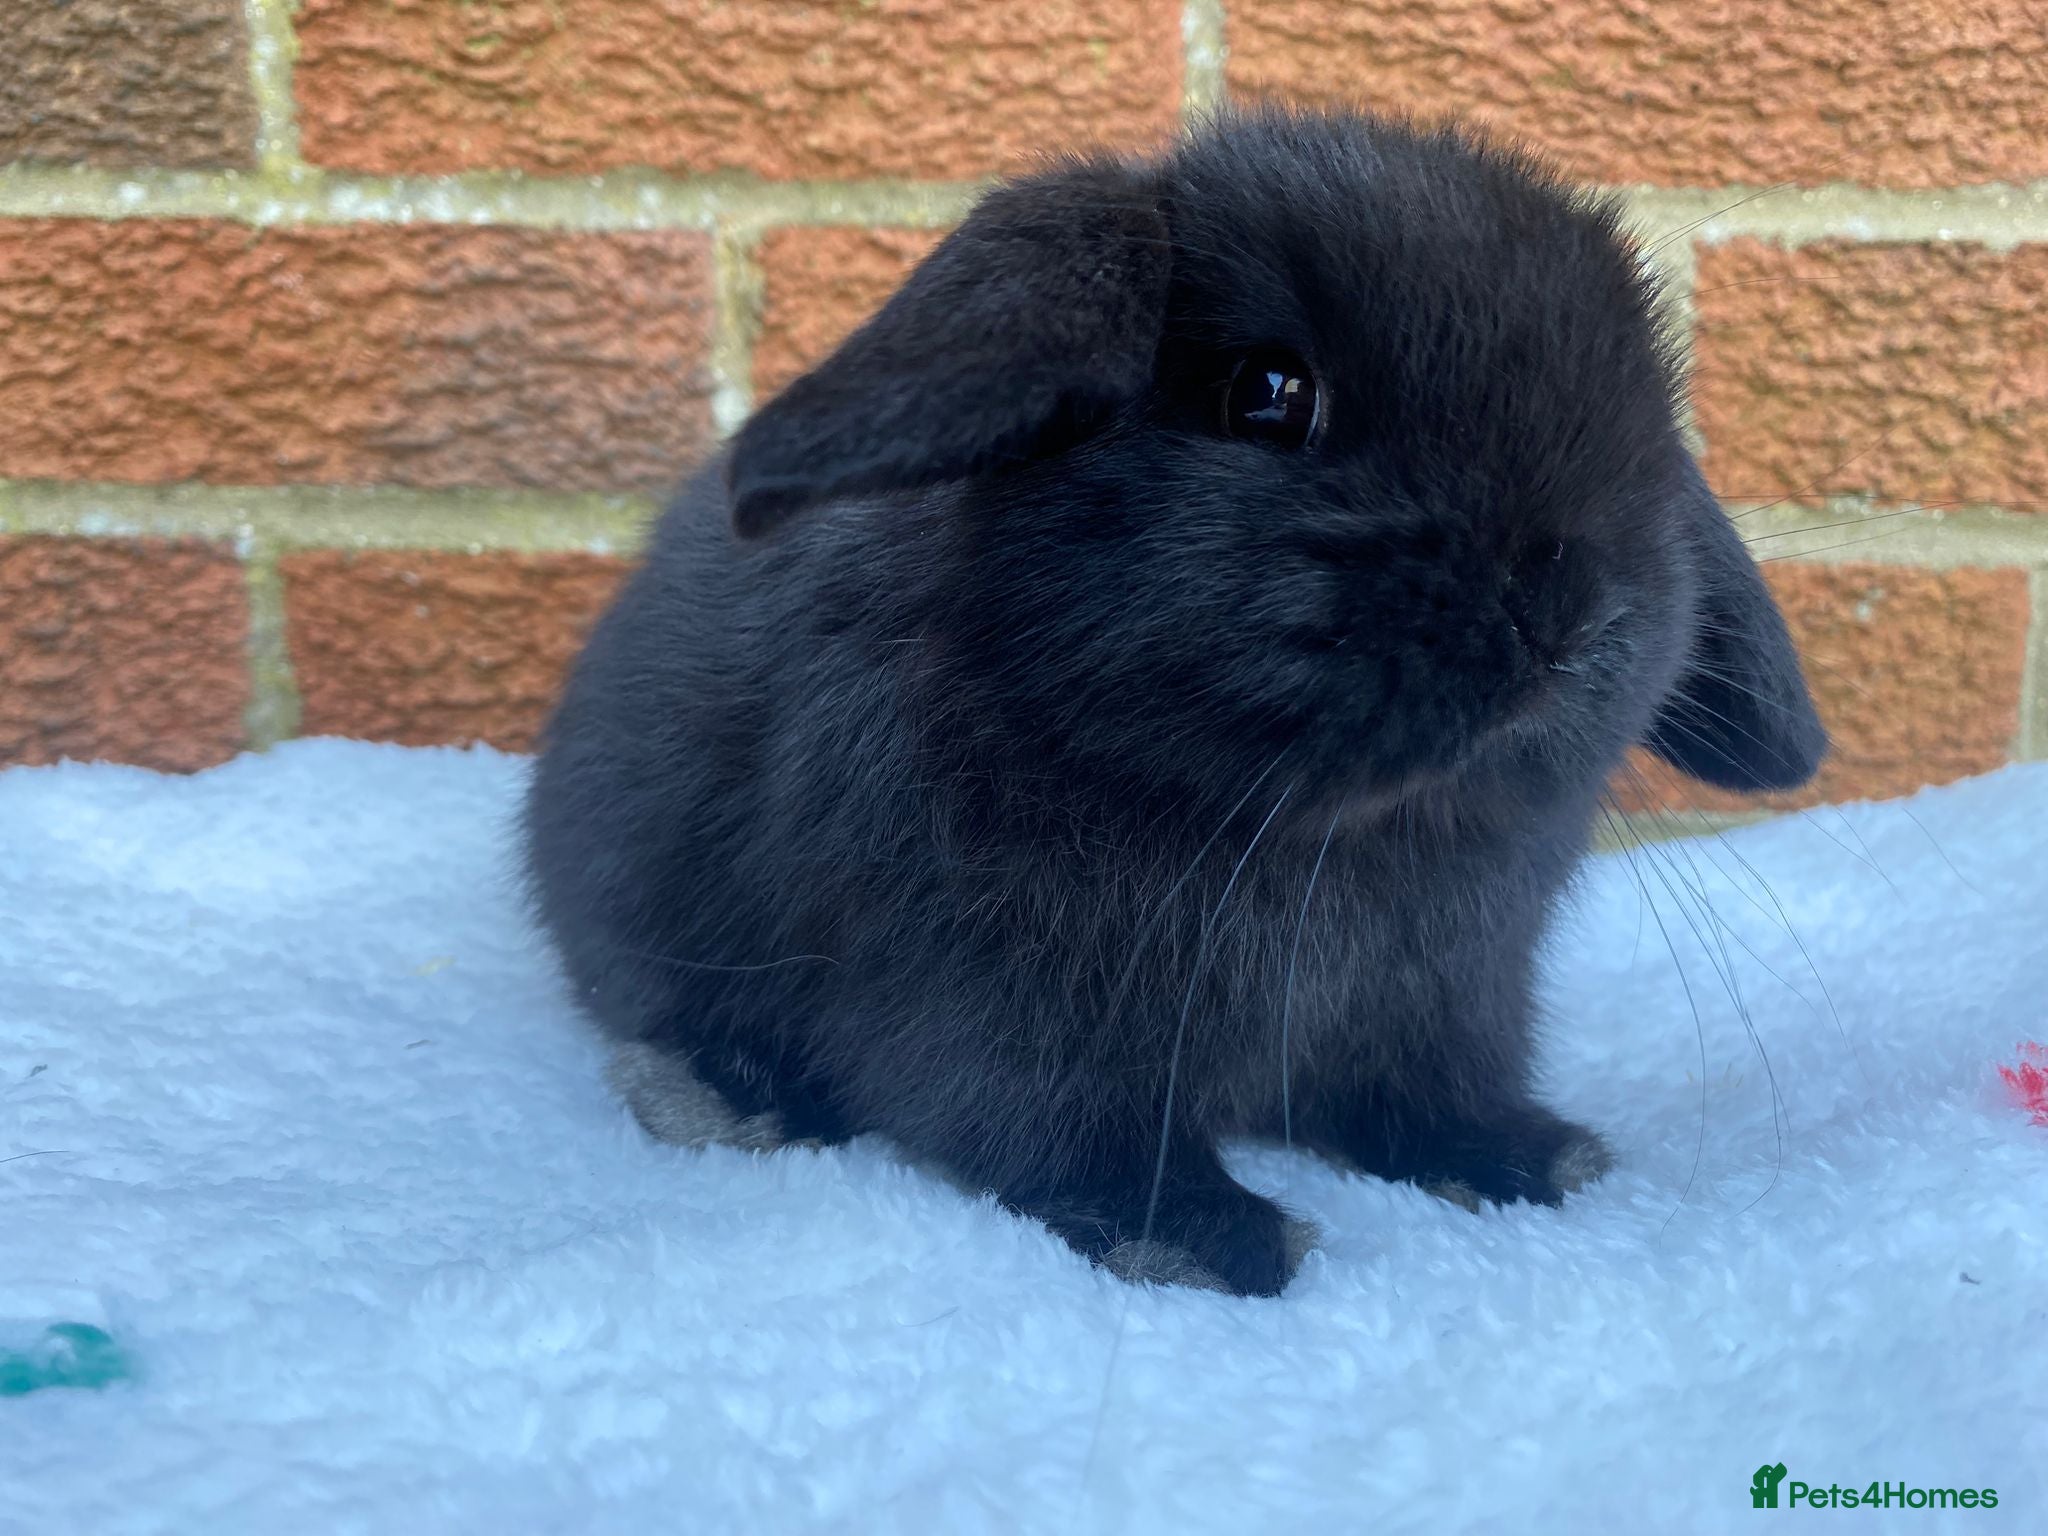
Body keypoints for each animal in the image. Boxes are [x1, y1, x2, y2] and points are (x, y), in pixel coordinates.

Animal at [523, 107, 1825, 1298]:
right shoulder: (987, 1008)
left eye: (1645, 426)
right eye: (1267, 393)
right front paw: (1212, 1241)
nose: (1563, 616)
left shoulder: (1446, 1000)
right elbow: (1053, 1130)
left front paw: (1525, 1159)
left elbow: (1426, 1098)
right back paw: (719, 1091)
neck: (1316, 834)